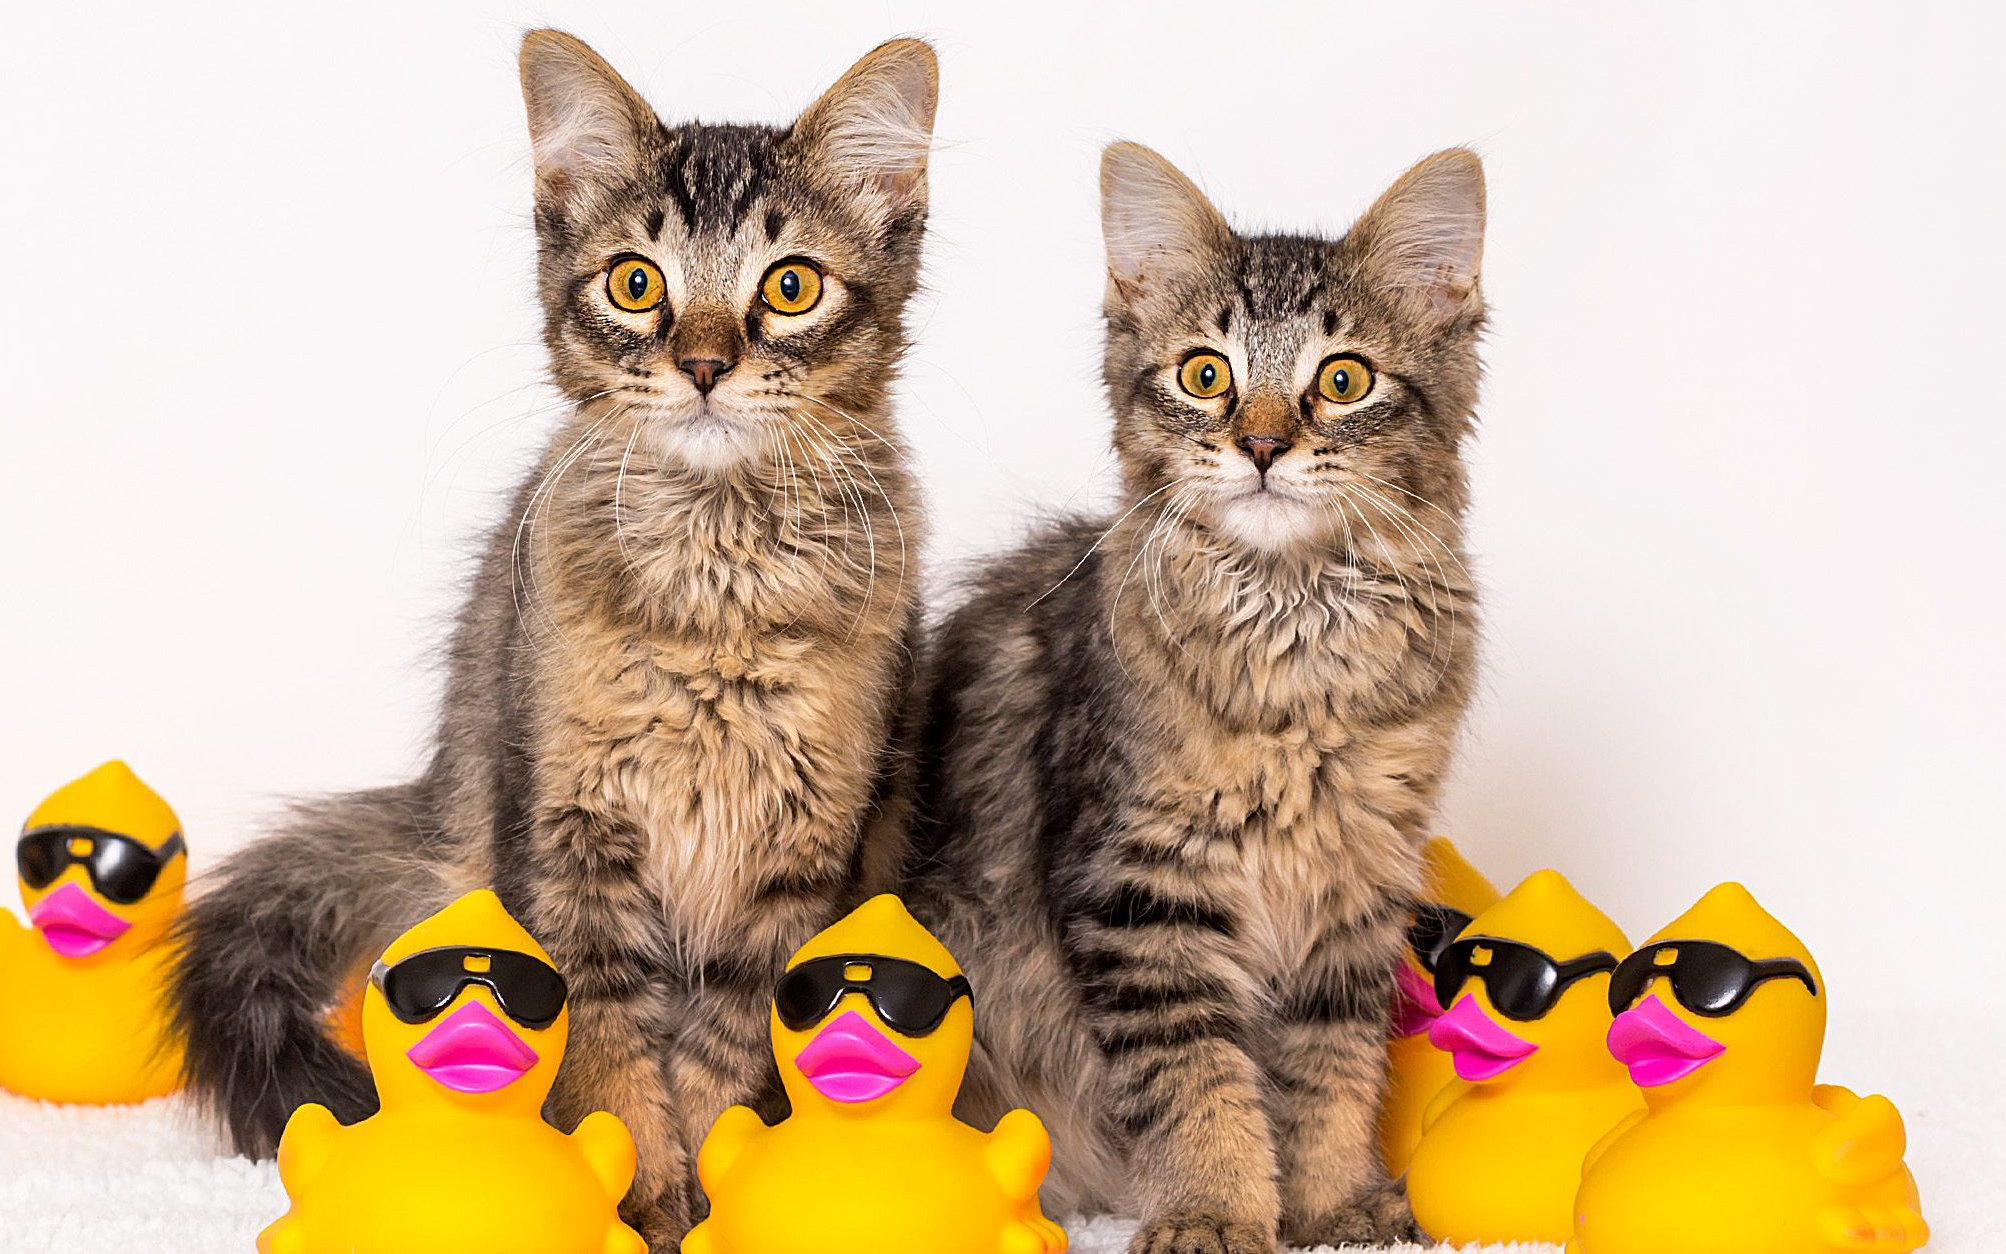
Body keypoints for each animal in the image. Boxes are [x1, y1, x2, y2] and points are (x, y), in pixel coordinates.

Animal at [168, 29, 934, 1243]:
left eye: (790, 287)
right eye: (636, 283)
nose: (704, 365)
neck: (714, 578)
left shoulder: (804, 860)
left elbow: (721, 1059)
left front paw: (705, 1201)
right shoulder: (567, 835)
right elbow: (612, 1053)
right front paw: (646, 1199)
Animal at [902, 141, 1484, 1243]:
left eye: (1342, 380)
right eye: (1204, 374)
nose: (1260, 446)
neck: (1295, 639)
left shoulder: (1353, 890)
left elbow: (1330, 1073)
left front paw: (1330, 1202)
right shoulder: (1143, 890)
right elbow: (1197, 1082)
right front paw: (1214, 1212)